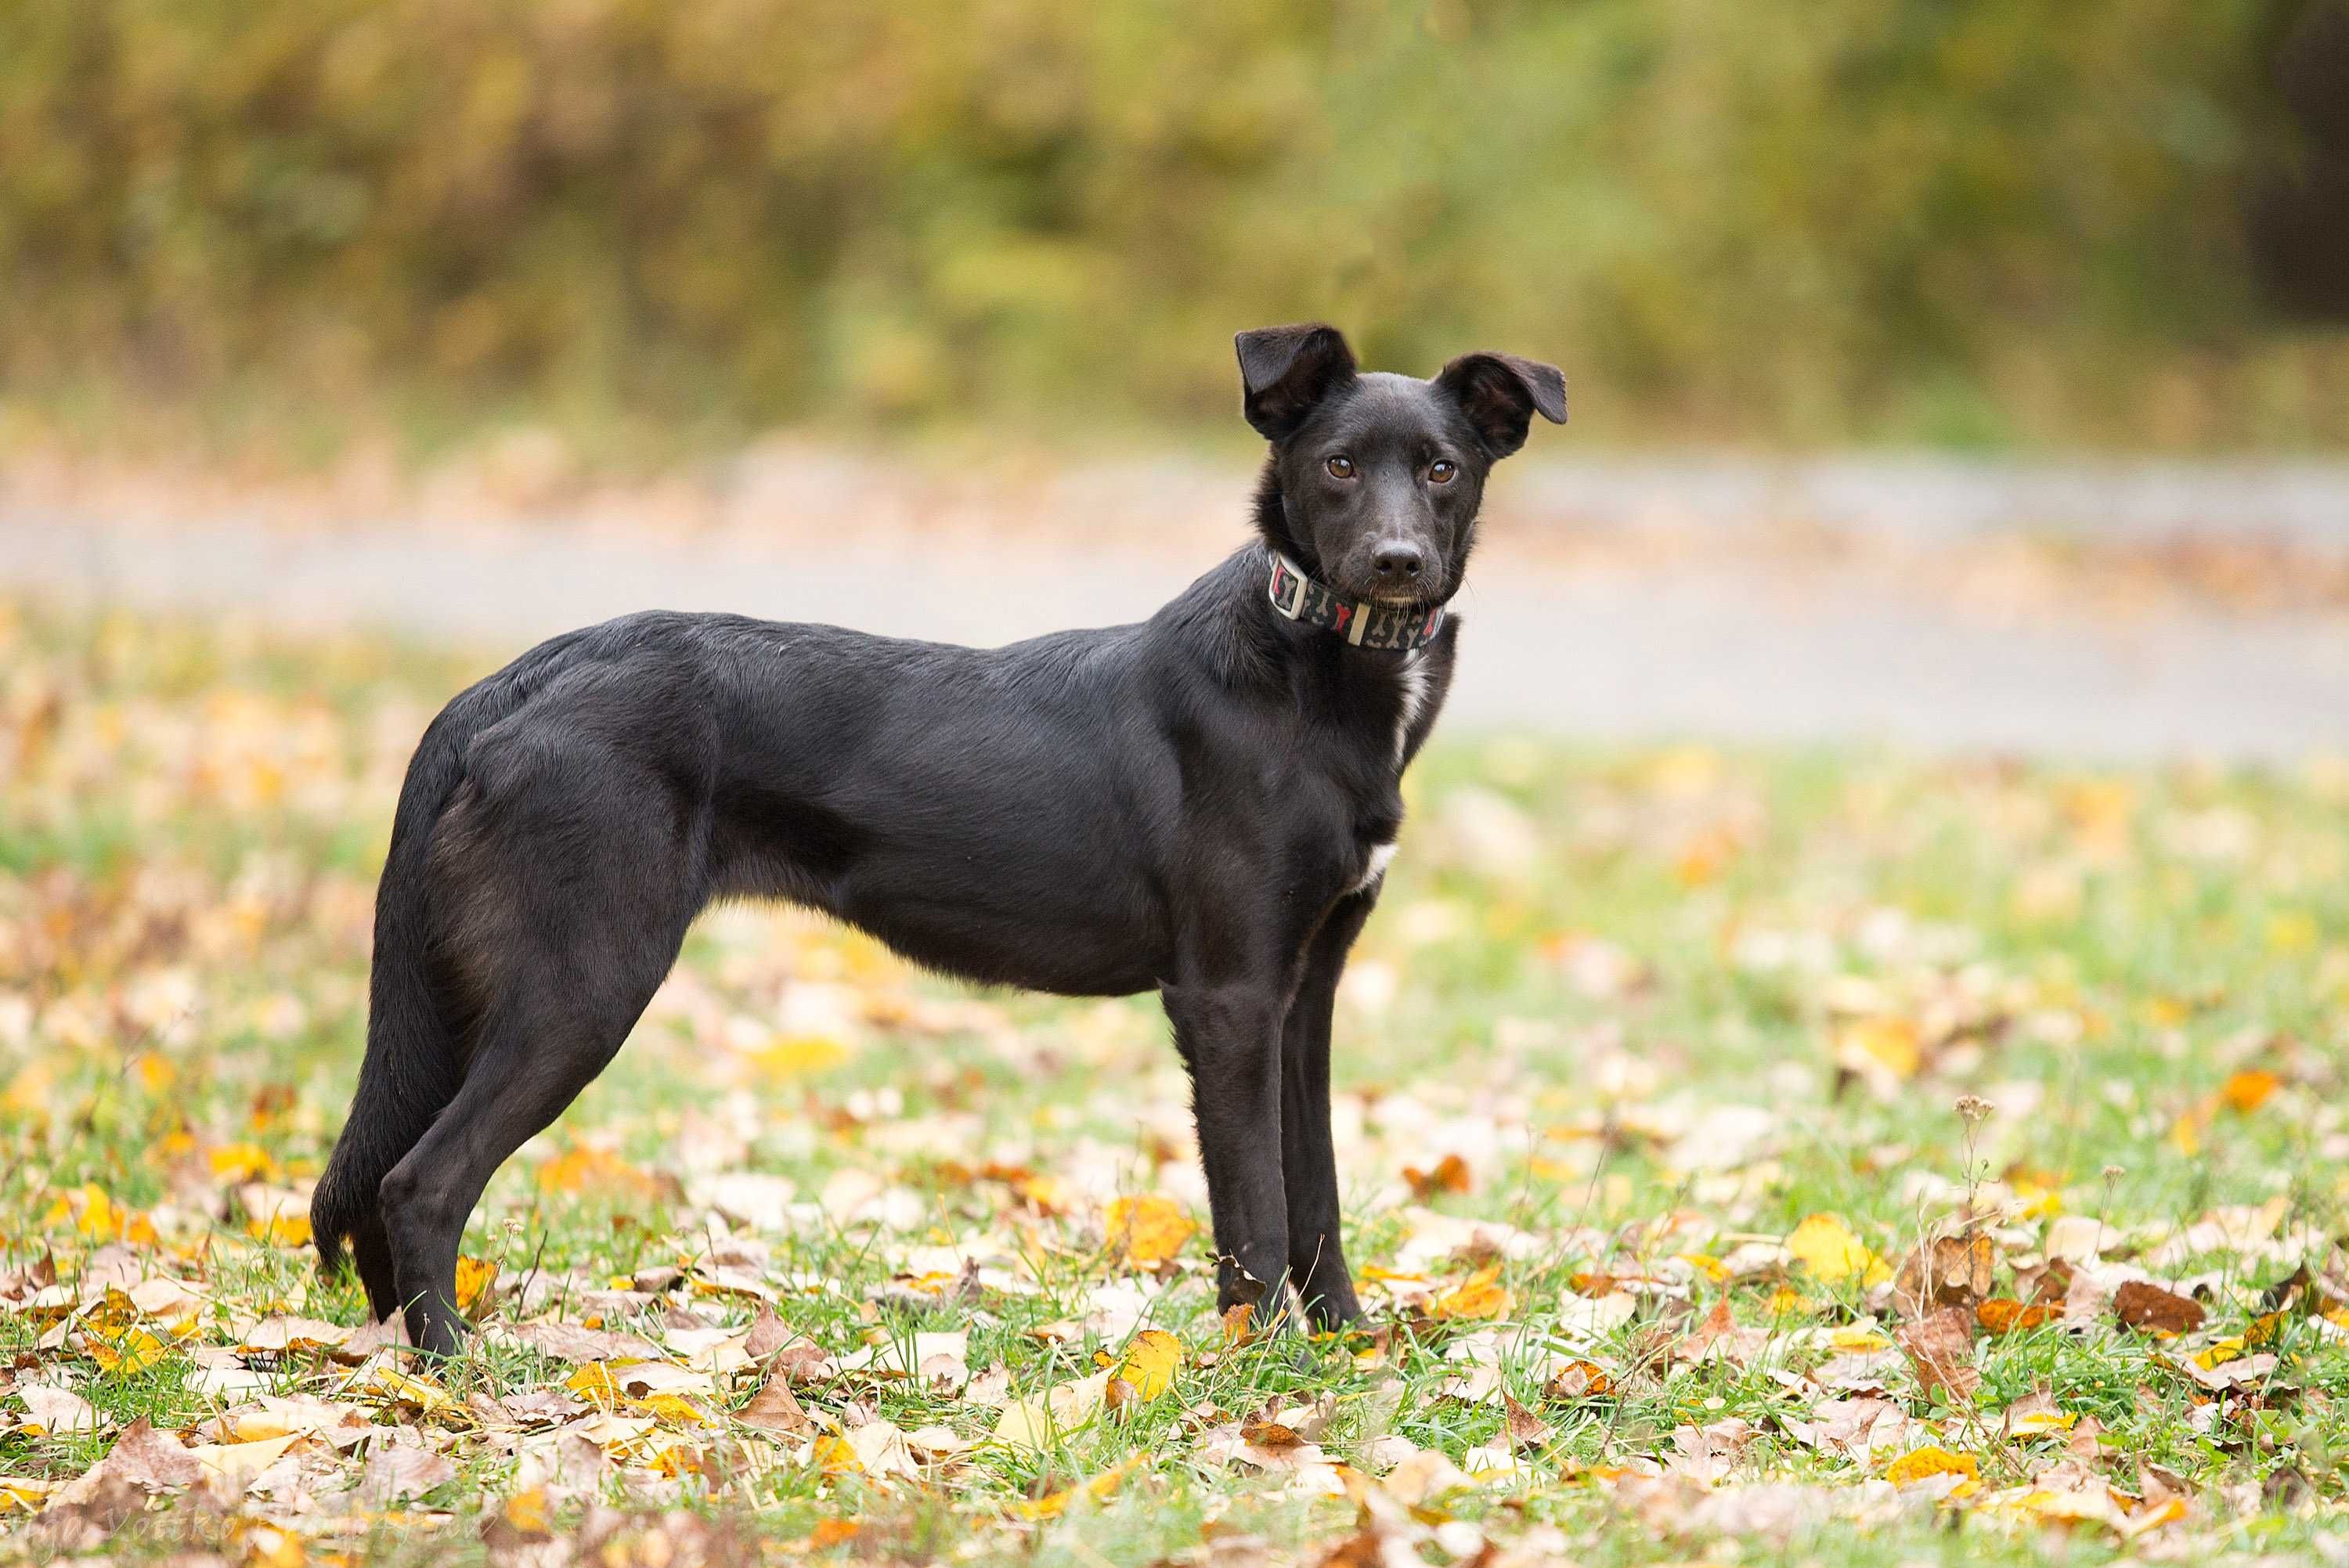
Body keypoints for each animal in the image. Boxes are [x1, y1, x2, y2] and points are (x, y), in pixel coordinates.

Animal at [312, 323, 1560, 1352]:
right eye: (1337, 465)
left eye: (1442, 469)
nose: (1397, 562)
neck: (1316, 673)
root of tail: (507, 682)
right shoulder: (1230, 995)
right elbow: (1253, 1206)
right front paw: (1272, 1372)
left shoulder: (1307, 992)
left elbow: (1318, 1193)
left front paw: (1347, 1344)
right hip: (584, 979)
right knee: (420, 1180)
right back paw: (453, 1367)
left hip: (473, 992)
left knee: (379, 1179)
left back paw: (398, 1356)